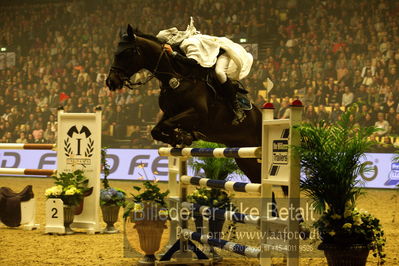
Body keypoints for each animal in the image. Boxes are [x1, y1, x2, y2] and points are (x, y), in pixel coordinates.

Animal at [106, 25, 262, 183]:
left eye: (127, 53)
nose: (111, 82)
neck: (177, 78)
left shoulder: (197, 114)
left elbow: (167, 124)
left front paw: (182, 137)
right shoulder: (170, 113)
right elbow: (156, 130)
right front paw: (180, 137)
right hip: (243, 157)